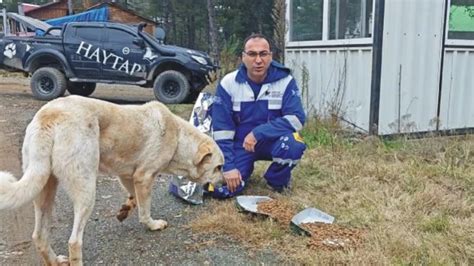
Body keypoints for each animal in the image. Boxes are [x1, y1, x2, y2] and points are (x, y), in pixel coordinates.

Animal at [0, 95, 224, 264]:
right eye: (219, 167)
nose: (224, 184)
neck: (178, 137)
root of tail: (49, 116)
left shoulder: (127, 176)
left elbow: (135, 199)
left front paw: (125, 209)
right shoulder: (144, 177)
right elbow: (145, 210)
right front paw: (152, 225)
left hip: (44, 189)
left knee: (39, 237)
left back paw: (55, 261)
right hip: (86, 191)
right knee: (74, 241)